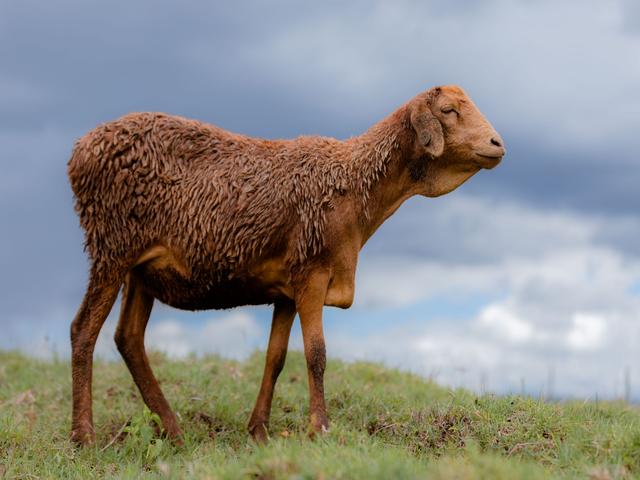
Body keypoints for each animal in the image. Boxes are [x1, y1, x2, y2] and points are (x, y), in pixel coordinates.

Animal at [67, 84, 505, 445]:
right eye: (448, 110)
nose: (497, 143)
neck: (356, 186)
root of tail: (80, 149)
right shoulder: (312, 272)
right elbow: (316, 354)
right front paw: (320, 428)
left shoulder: (286, 289)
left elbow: (275, 358)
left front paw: (259, 431)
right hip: (111, 248)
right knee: (84, 330)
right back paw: (84, 437)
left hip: (140, 270)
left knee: (128, 338)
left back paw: (173, 431)